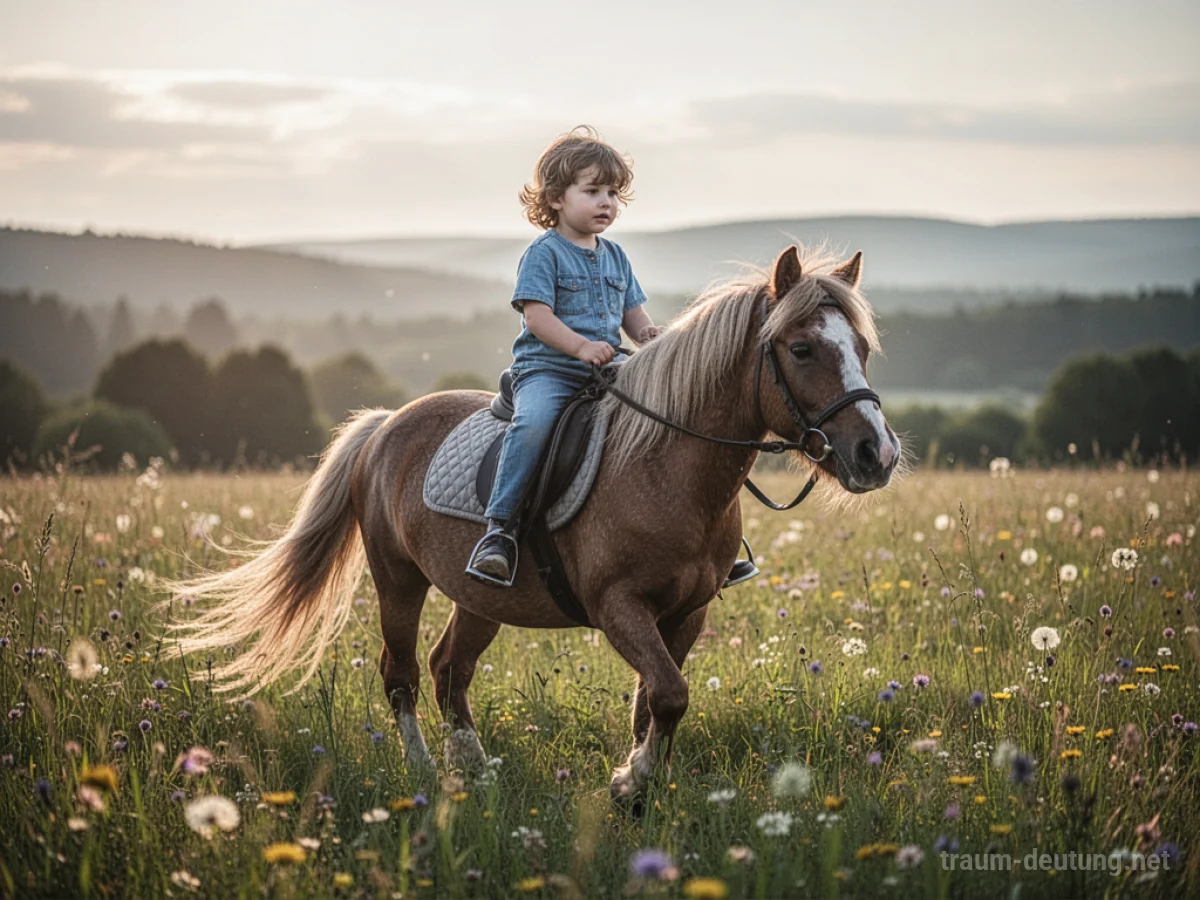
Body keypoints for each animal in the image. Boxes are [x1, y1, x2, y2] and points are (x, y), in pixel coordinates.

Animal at [164, 244, 901, 801]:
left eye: (862, 348)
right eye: (801, 349)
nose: (878, 454)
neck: (666, 467)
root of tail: (385, 426)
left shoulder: (687, 613)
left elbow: (654, 702)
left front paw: (639, 785)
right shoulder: (617, 606)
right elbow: (668, 694)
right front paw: (631, 783)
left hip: (478, 596)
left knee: (449, 669)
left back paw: (472, 766)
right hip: (397, 580)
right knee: (401, 673)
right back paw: (425, 772)